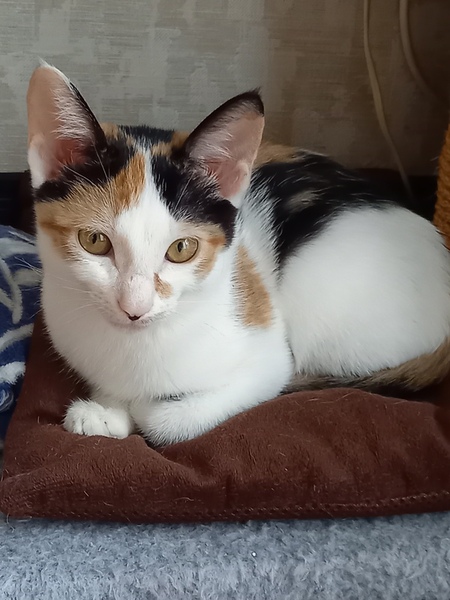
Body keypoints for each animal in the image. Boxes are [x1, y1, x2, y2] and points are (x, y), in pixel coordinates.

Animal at [27, 63, 450, 446]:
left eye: (182, 248)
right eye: (95, 241)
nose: (135, 307)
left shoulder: (269, 364)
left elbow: (170, 419)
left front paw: (141, 407)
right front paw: (105, 410)